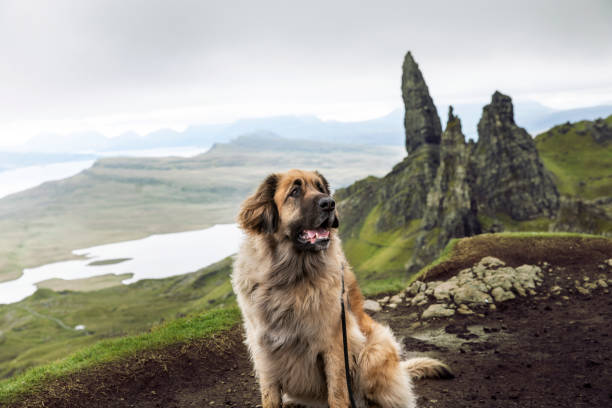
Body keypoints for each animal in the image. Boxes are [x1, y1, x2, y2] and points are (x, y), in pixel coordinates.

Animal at [232, 170, 452, 408]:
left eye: (320, 188)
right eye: (295, 191)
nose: (329, 203)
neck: (291, 277)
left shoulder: (335, 344)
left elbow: (337, 393)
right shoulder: (264, 349)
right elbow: (270, 395)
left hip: (373, 351)